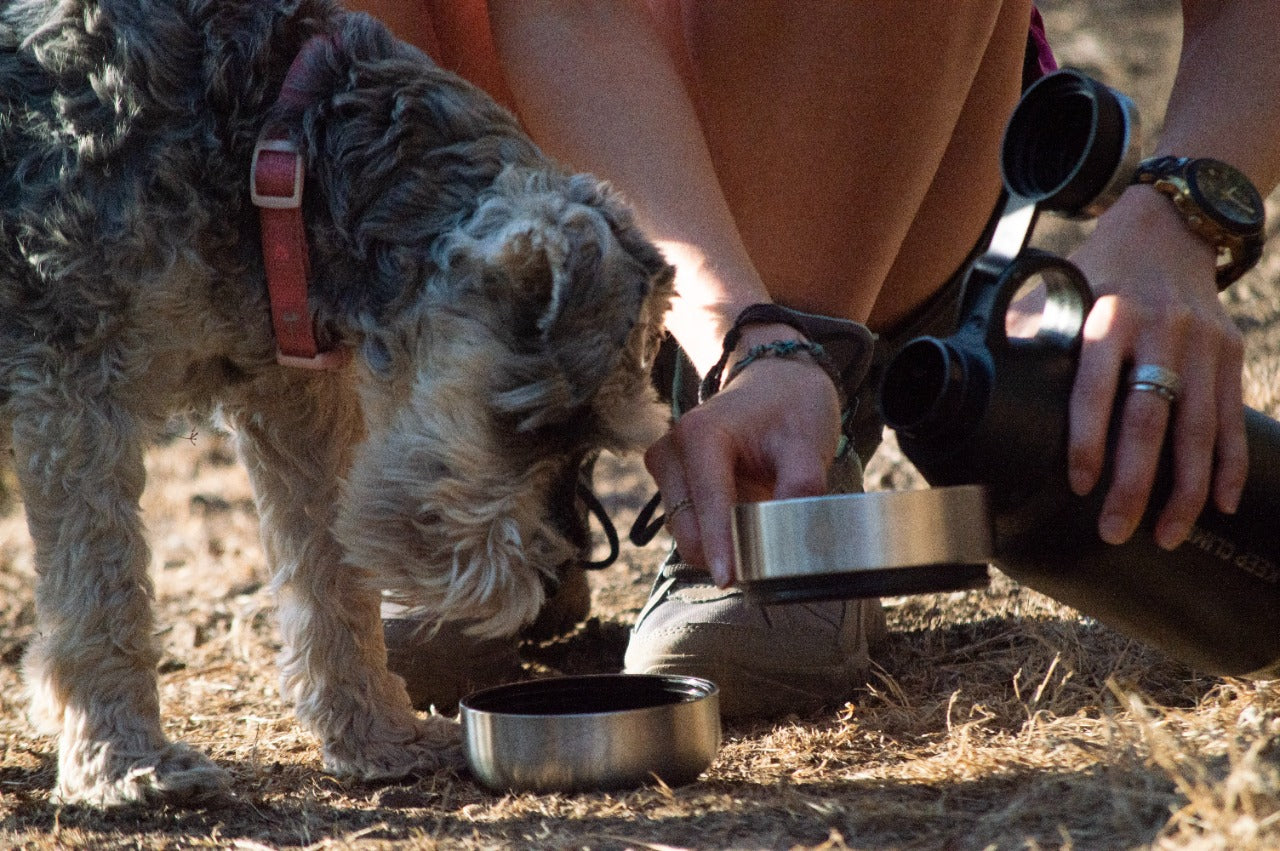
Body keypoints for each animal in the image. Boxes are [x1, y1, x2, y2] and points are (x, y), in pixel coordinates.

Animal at [0, 0, 675, 803]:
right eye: (530, 421)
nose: (547, 583)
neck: (270, 134)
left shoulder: (296, 402)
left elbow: (334, 577)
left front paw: (380, 736)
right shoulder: (74, 379)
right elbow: (102, 588)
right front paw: (126, 761)